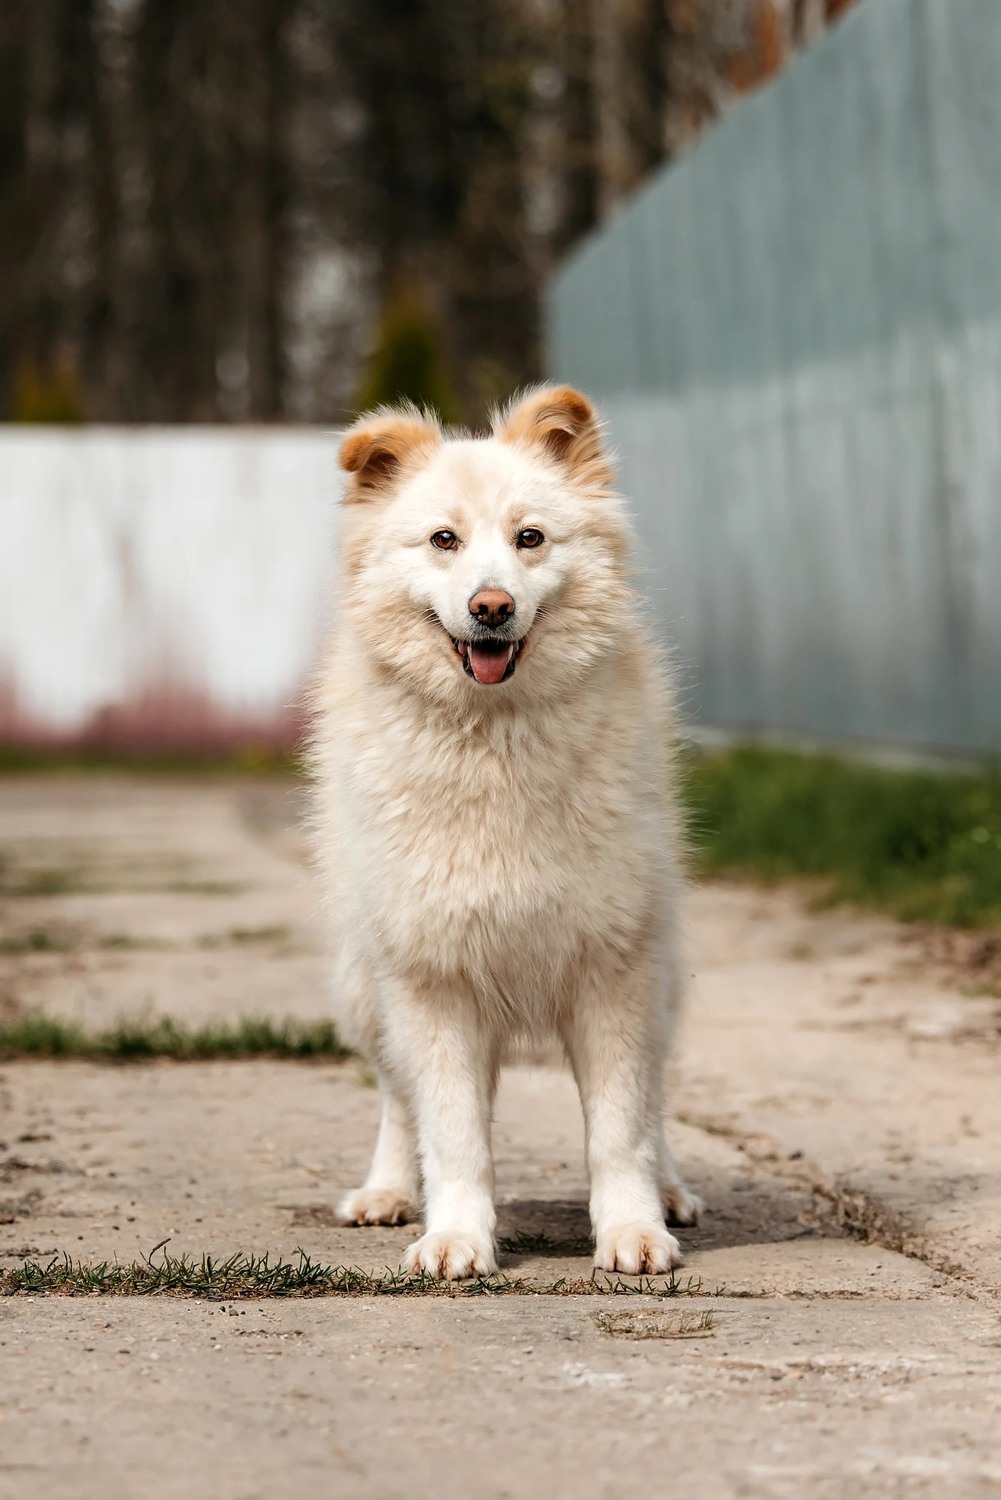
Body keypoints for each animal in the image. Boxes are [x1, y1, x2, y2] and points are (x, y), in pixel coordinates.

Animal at [309, 384, 702, 1278]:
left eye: (530, 538)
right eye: (443, 540)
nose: (492, 608)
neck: (494, 740)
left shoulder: (614, 970)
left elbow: (621, 1130)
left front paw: (632, 1231)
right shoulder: (432, 978)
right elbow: (453, 1134)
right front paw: (455, 1238)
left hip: (663, 980)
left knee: (657, 1099)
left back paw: (670, 1192)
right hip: (365, 987)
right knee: (398, 1100)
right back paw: (388, 1192)